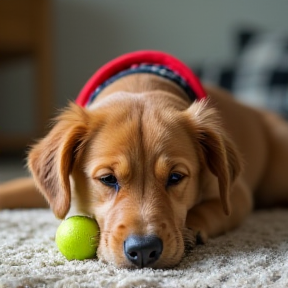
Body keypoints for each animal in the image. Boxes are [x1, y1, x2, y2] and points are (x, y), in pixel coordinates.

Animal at [0, 50, 288, 268]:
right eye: (108, 179)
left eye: (175, 177)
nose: (143, 251)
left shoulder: (237, 194)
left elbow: (209, 208)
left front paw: (191, 229)